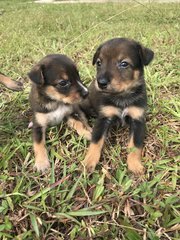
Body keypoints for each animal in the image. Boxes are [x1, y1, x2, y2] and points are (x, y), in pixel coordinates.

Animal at [81, 37, 154, 174]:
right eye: (99, 63)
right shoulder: (103, 118)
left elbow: (135, 145)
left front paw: (135, 165)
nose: (101, 83)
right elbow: (96, 141)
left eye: (124, 64)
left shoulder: (137, 120)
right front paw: (88, 162)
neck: (122, 96)